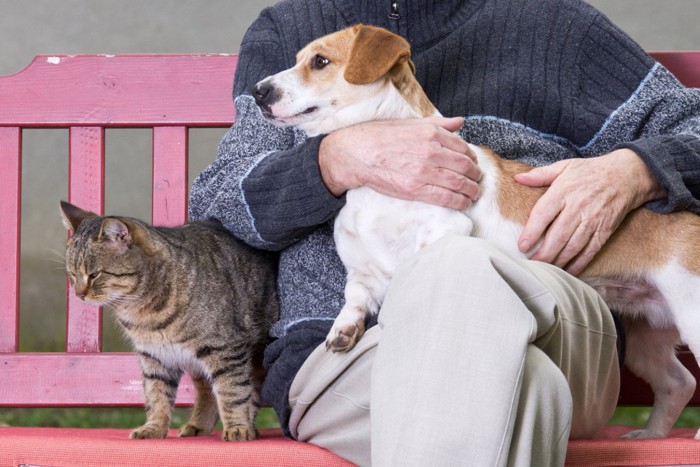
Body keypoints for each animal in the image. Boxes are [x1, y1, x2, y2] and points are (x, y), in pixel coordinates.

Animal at [59, 202, 278, 442]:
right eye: (72, 275)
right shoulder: (155, 356)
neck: (142, 312)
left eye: (94, 275)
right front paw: (153, 428)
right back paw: (198, 425)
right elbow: (157, 395)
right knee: (207, 390)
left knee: (248, 388)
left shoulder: (225, 349)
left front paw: (237, 427)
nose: (79, 294)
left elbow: (233, 392)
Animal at [252, 24, 700, 442]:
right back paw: (651, 435)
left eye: (320, 61)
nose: (257, 90)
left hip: (691, 317)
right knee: (680, 383)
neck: (376, 188)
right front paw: (344, 329)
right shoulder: (363, 275)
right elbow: (353, 300)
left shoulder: (444, 230)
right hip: (646, 336)